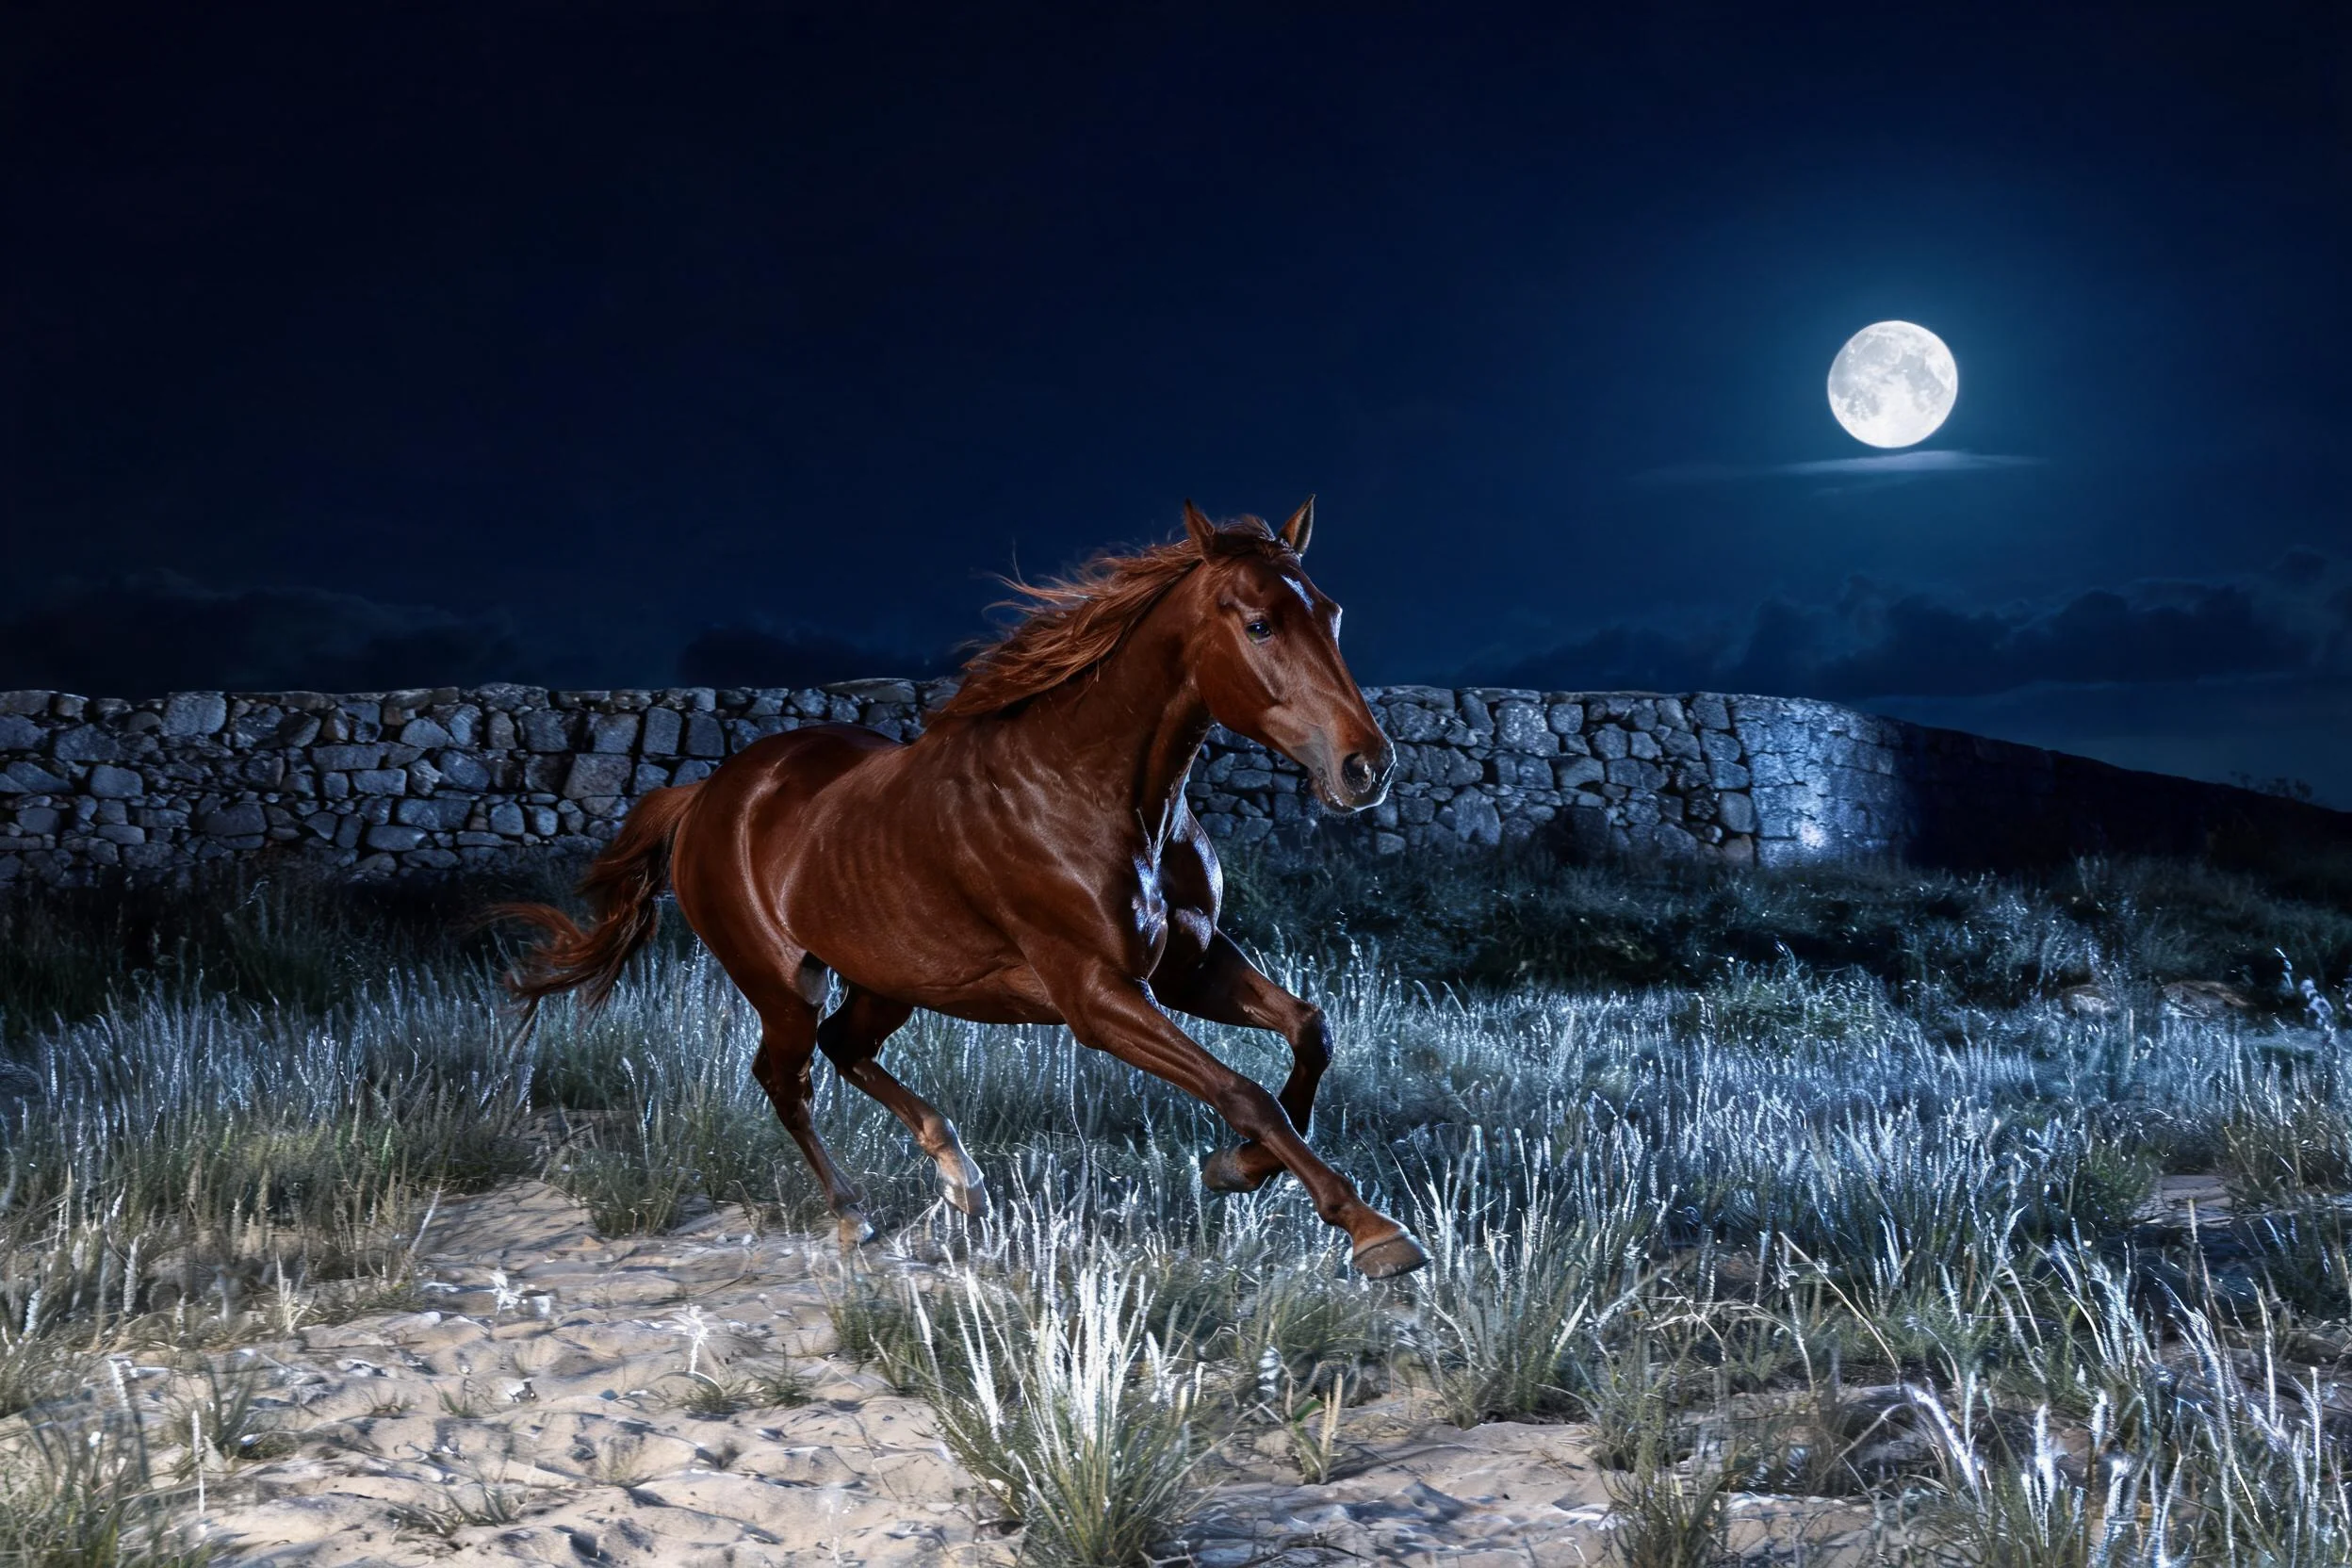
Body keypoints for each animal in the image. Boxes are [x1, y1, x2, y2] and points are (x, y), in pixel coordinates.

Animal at [498, 499, 1428, 1277]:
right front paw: (1372, 1230)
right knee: (786, 1077)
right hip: (782, 981)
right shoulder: (1096, 997)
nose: (1367, 767)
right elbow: (1243, 1091)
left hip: (890, 979)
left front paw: (1239, 1170)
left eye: (1332, 613)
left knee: (844, 1049)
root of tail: (705, 795)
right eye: (1261, 623)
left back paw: (957, 1174)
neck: (1093, 791)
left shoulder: (1188, 968)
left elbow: (1310, 1032)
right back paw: (855, 1215)